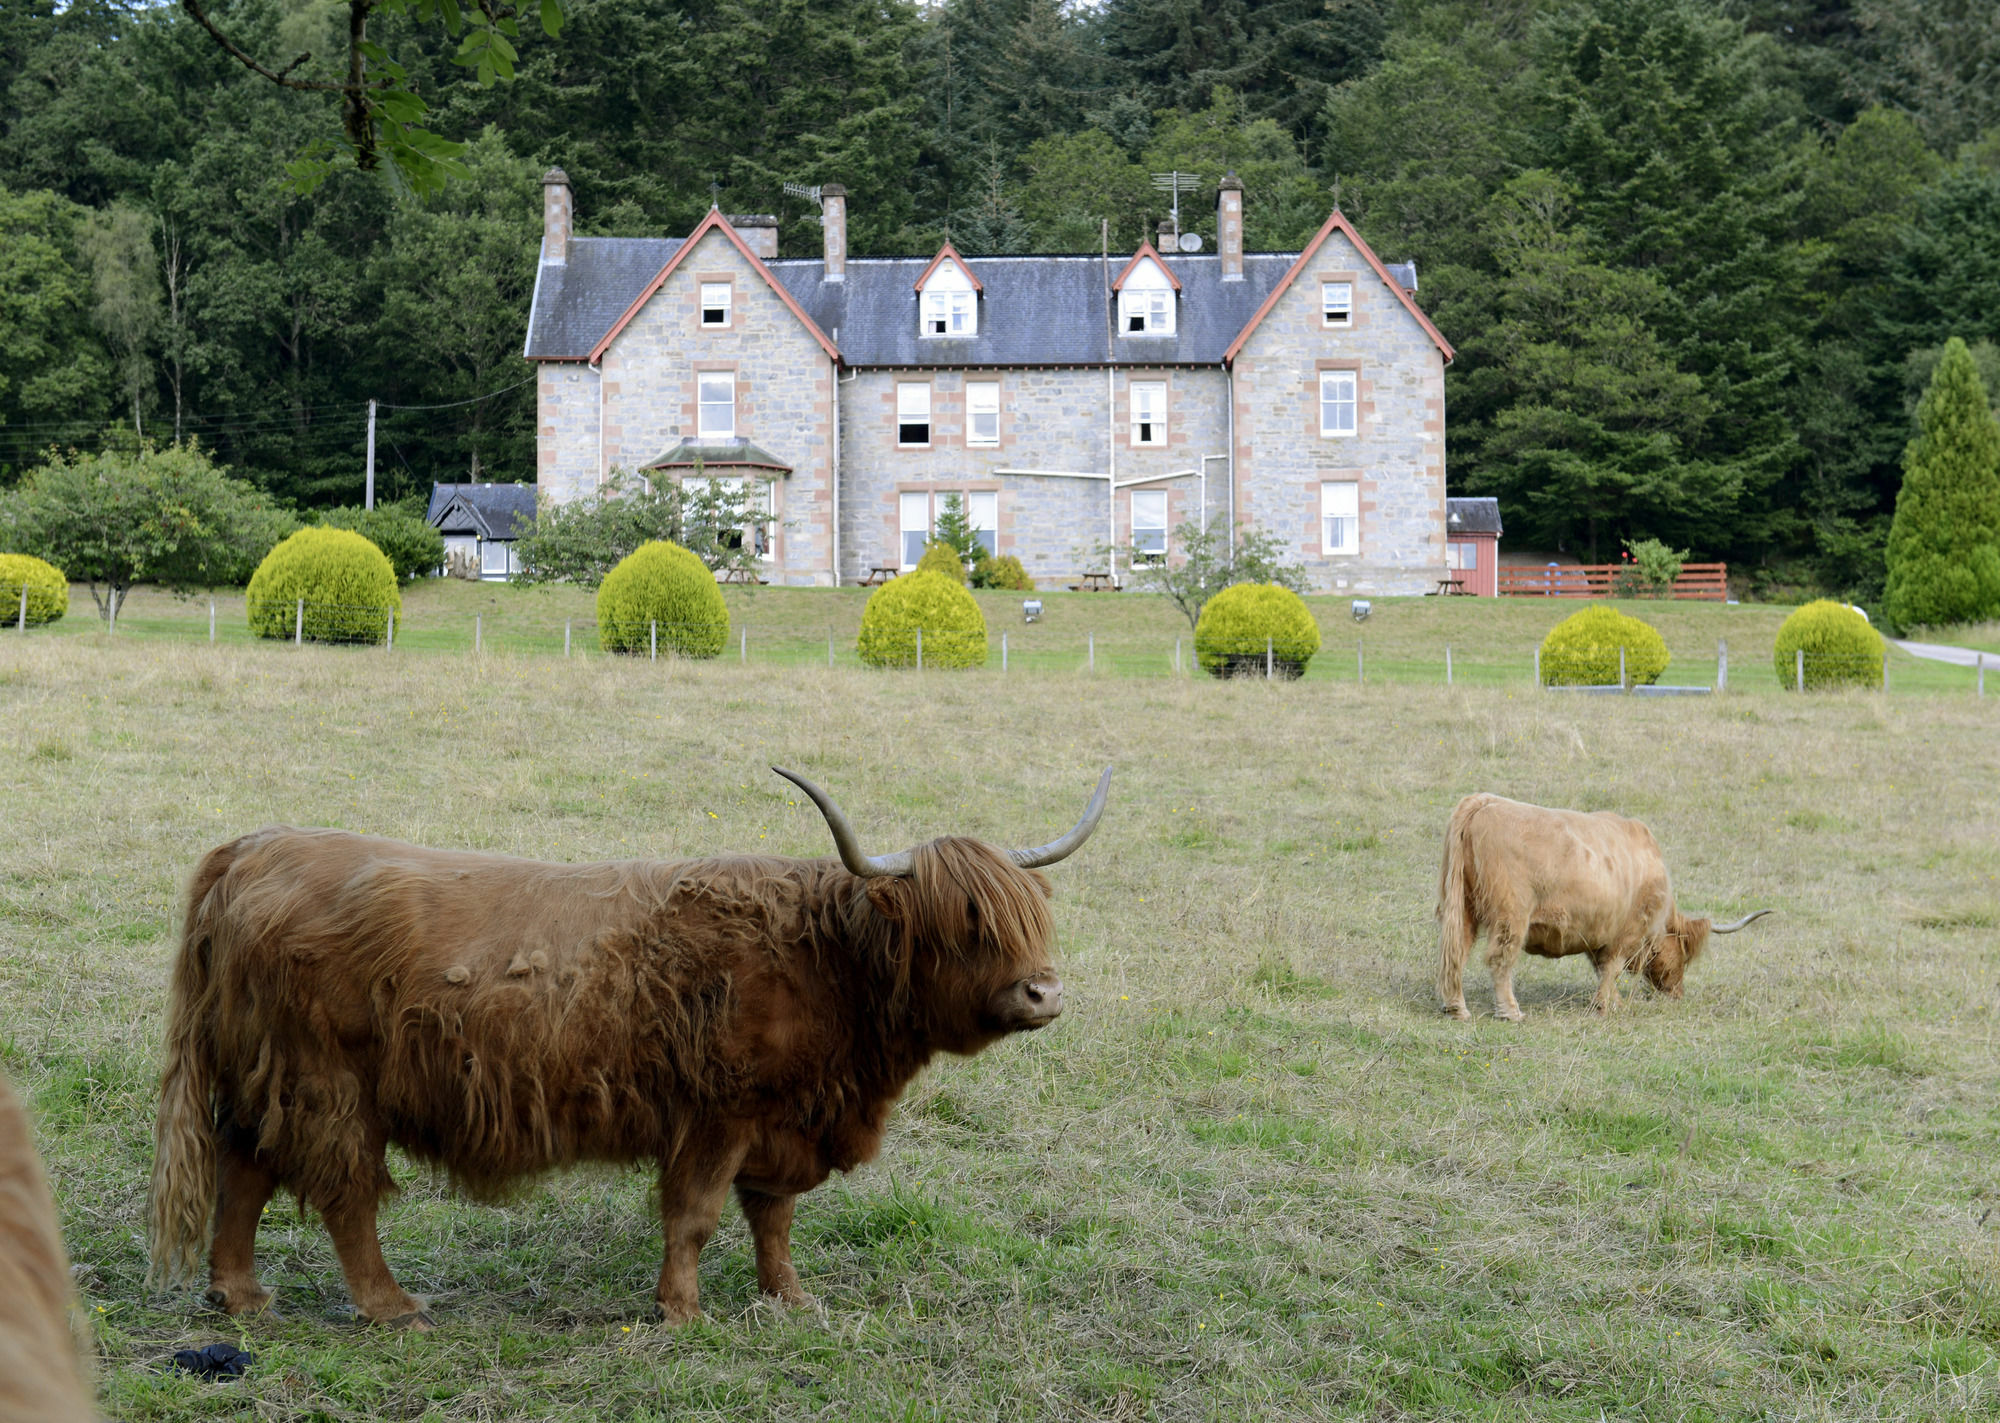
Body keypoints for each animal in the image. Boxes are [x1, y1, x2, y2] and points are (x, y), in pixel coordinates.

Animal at [1432, 787, 1776, 1023]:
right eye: (1683, 953)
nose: (1677, 993)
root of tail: (1483, 801)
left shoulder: (1598, 932)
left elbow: (1602, 968)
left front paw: (1613, 1002)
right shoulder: (1627, 932)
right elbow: (1612, 968)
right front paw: (1607, 1006)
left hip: (1462, 906)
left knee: (1456, 951)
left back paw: (1456, 1008)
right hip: (1511, 914)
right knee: (1500, 959)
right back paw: (1511, 1012)